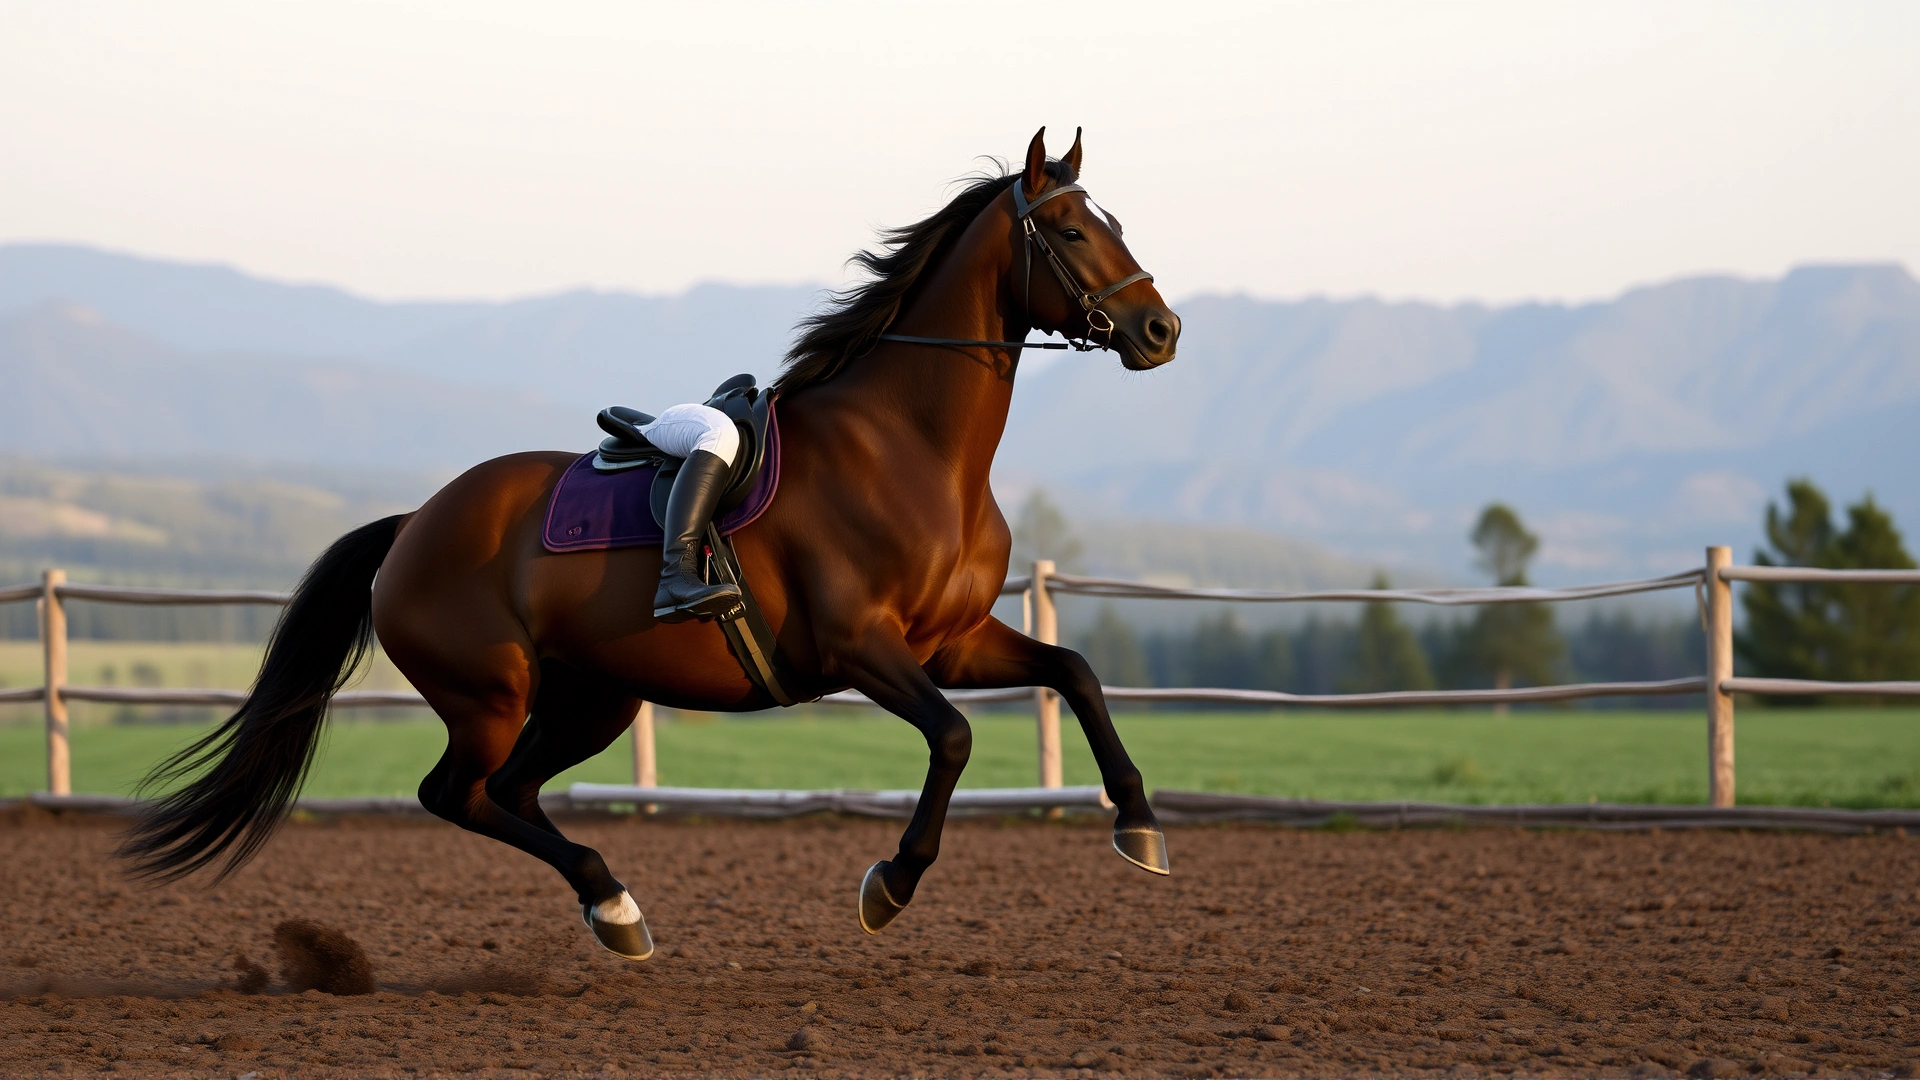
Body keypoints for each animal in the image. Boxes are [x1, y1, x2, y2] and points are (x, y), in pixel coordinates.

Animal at [120, 127, 1183, 961]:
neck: (910, 448)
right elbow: (956, 738)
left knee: (507, 791)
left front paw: (1139, 825)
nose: (1160, 329)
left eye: (1119, 225)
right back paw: (613, 899)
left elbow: (1075, 673)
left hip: (591, 697)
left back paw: (611, 905)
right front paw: (890, 883)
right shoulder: (863, 649)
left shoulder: (952, 642)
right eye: (1075, 231)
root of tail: (414, 525)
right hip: (490, 695)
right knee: (456, 793)